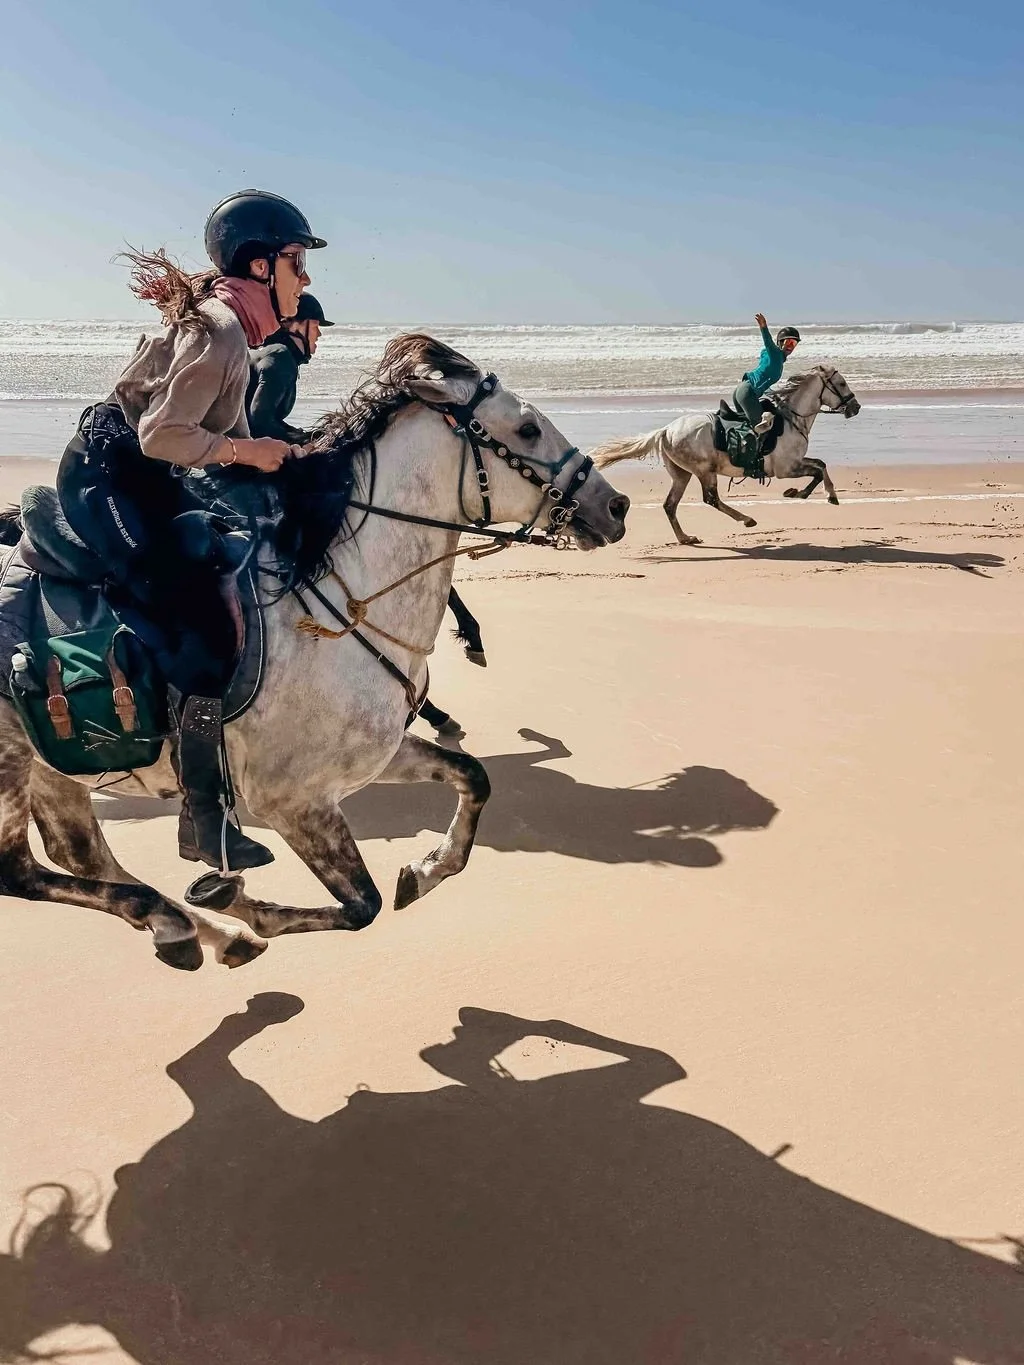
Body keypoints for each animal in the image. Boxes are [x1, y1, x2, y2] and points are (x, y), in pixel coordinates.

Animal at [0, 334, 629, 971]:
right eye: (527, 429)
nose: (616, 505)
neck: (342, 606)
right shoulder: (294, 802)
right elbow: (361, 906)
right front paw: (244, 904)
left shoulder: (371, 760)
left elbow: (473, 778)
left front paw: (426, 869)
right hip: (11, 767)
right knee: (22, 873)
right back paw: (190, 922)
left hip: (51, 769)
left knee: (80, 854)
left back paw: (192, 930)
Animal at [592, 366, 860, 546]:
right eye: (842, 383)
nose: (855, 408)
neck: (791, 420)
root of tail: (666, 430)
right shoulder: (787, 469)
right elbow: (818, 470)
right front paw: (811, 494)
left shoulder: (795, 463)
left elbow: (820, 466)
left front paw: (812, 493)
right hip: (704, 471)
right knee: (711, 499)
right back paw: (746, 519)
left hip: (682, 474)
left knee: (670, 505)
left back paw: (685, 538)